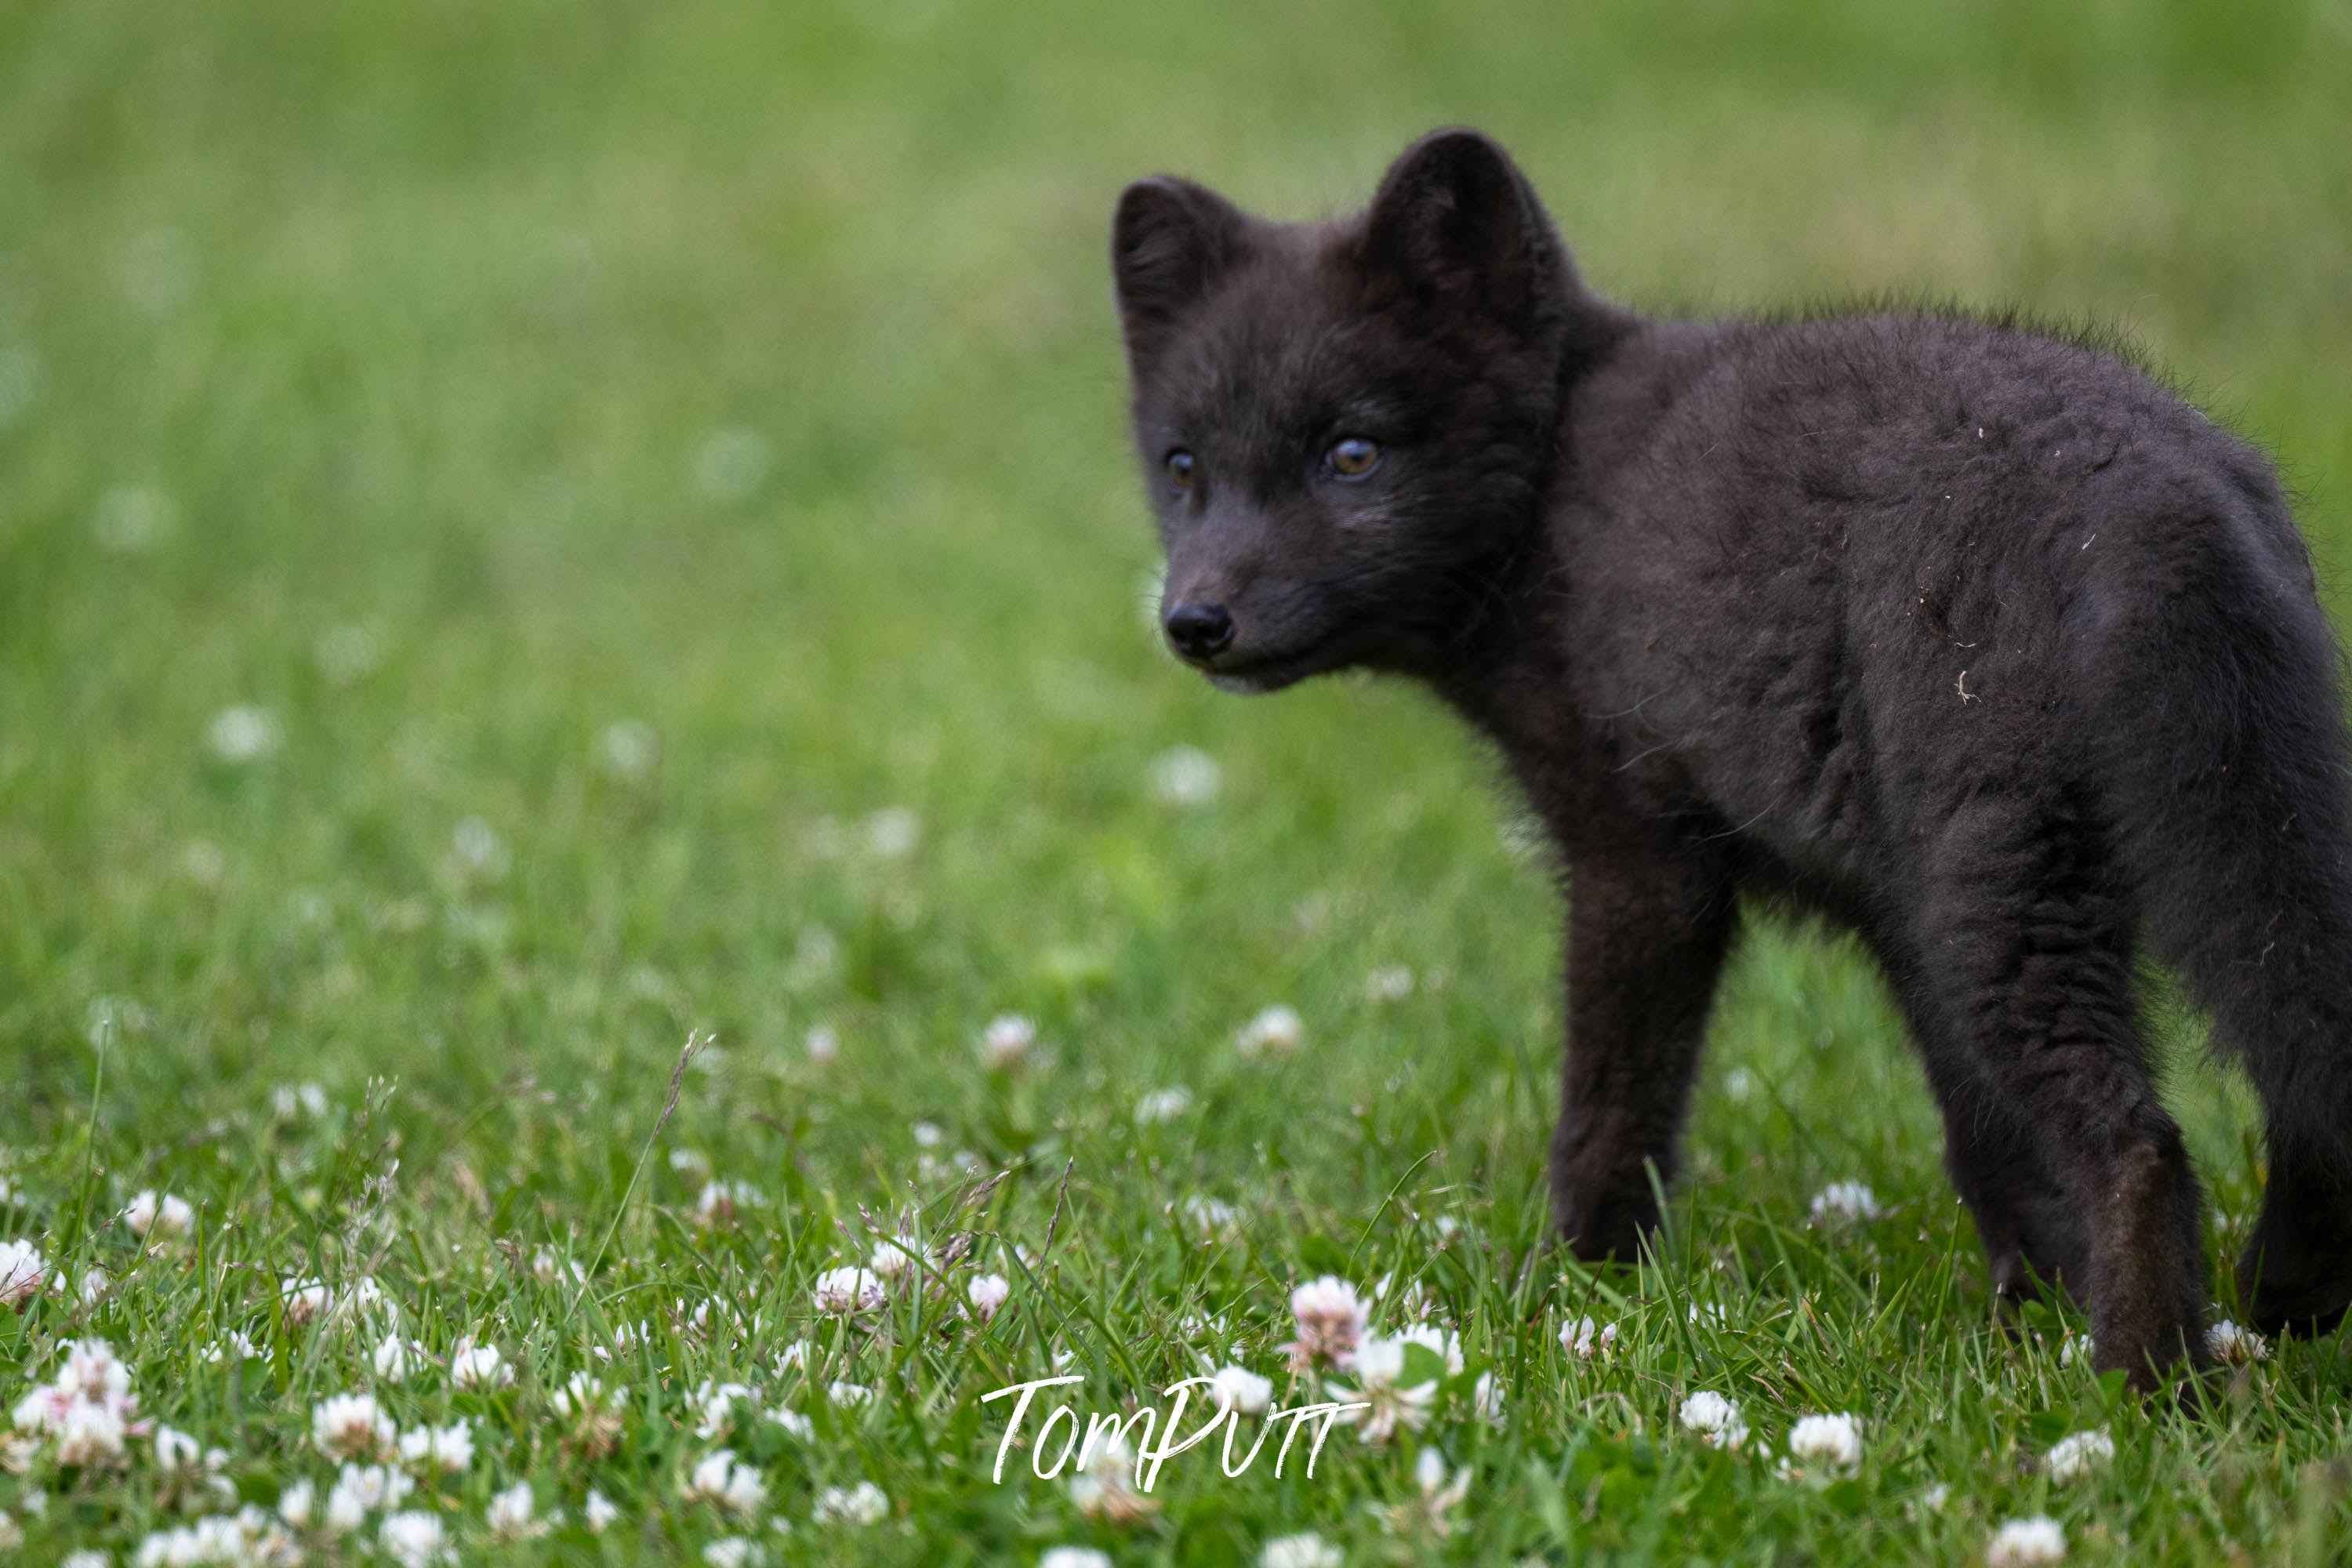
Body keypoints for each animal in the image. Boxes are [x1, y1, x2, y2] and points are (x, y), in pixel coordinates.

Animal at [1110, 128, 2352, 1387]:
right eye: (1183, 466)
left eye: (1352, 454)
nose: (1195, 621)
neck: (1561, 489)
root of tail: (2156, 498)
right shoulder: (1893, 913)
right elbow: (1987, 1146)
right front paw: (2027, 1316)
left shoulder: (1643, 860)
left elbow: (1615, 1107)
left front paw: (1573, 1288)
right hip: (2236, 822)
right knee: (2299, 1076)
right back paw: (2276, 1301)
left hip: (2006, 894)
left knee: (2142, 1138)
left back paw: (2145, 1386)